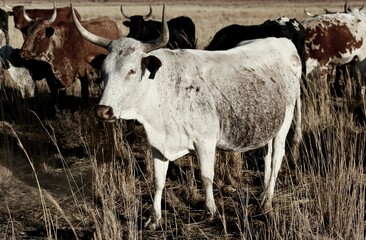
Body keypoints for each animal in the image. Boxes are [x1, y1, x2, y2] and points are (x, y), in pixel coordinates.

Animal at [71, 3, 304, 229]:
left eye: (131, 70)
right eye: (103, 70)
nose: (103, 110)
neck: (163, 87)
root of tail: (284, 43)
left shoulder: (205, 141)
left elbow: (206, 176)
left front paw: (210, 211)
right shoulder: (158, 143)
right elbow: (158, 180)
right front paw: (154, 218)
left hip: (285, 121)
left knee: (277, 157)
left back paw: (267, 202)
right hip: (267, 122)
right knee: (266, 156)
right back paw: (262, 193)